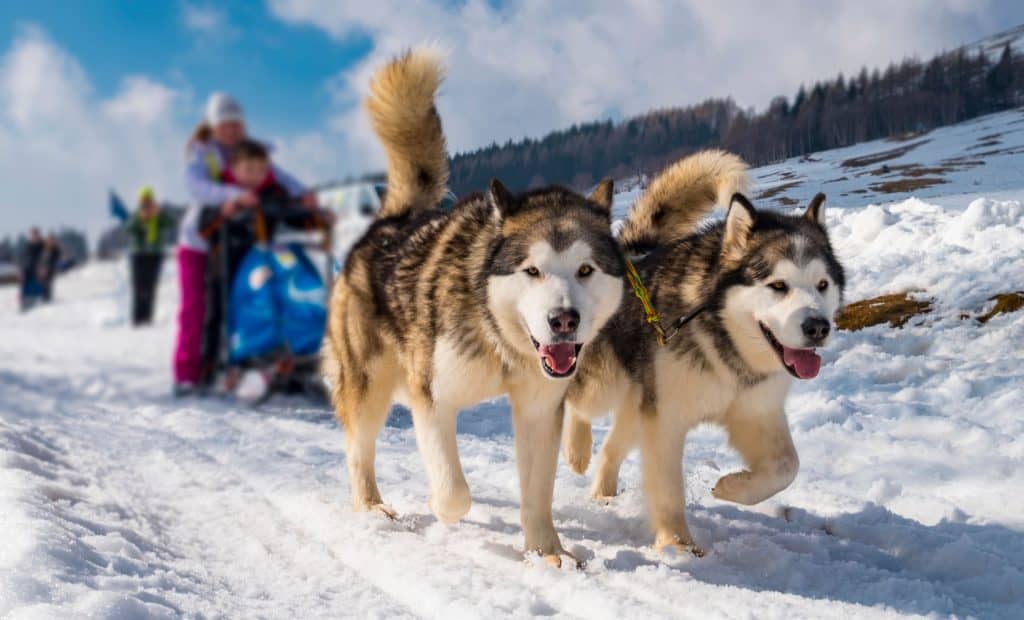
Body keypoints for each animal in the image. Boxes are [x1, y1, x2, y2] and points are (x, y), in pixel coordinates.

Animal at [321, 50, 622, 561]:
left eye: (585, 270)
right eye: (532, 271)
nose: (564, 320)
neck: (498, 337)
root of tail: (392, 222)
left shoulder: (540, 410)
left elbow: (537, 495)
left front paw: (547, 554)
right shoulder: (433, 399)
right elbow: (454, 492)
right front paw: (442, 510)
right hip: (368, 385)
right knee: (358, 450)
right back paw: (371, 507)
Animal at [565, 152, 843, 553]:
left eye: (822, 284)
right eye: (778, 286)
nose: (818, 328)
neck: (725, 340)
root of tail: (627, 256)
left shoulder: (755, 410)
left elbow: (787, 467)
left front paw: (733, 488)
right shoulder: (664, 418)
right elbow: (667, 489)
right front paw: (676, 545)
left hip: (639, 400)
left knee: (614, 444)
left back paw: (603, 491)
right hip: (606, 385)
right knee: (578, 402)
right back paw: (577, 450)